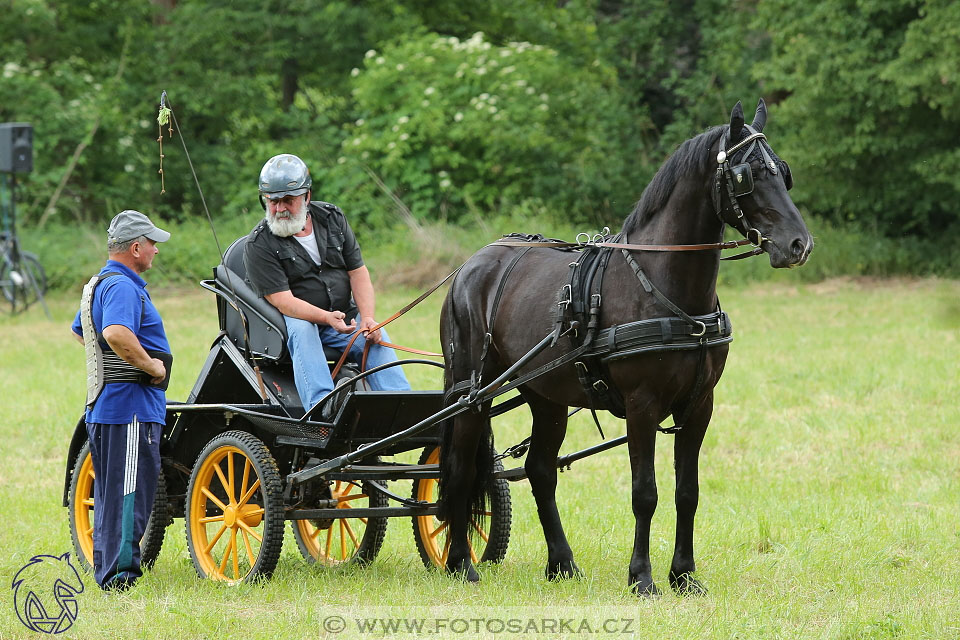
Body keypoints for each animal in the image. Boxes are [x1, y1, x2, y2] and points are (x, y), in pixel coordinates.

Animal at [438, 99, 812, 596]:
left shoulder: (699, 406)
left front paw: (684, 575)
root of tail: (471, 265)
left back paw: (561, 563)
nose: (799, 244)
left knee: (540, 470)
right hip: (470, 393)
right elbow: (644, 493)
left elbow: (687, 493)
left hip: (546, 396)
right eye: (745, 175)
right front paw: (642, 577)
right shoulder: (642, 404)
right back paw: (461, 563)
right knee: (460, 470)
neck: (664, 287)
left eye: (782, 172)